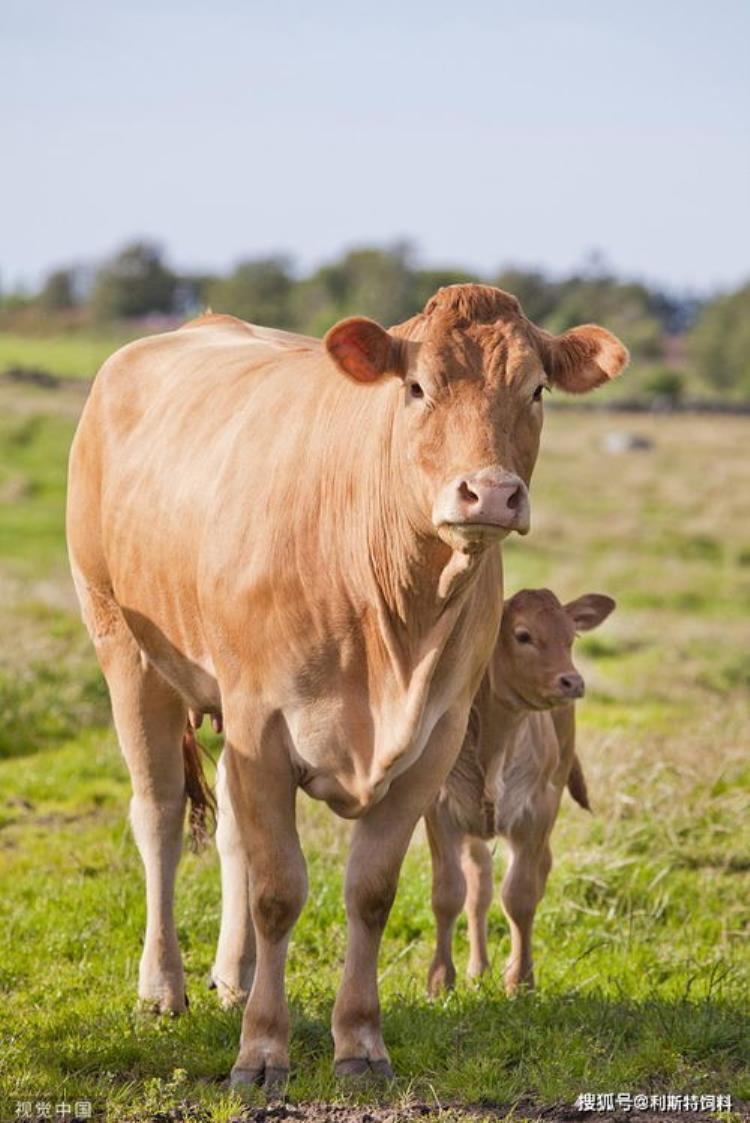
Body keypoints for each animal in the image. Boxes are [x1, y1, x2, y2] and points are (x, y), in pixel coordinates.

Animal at [426, 583, 615, 997]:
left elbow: (521, 896)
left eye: (571, 637)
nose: (573, 682)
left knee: (535, 872)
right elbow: (449, 894)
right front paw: (440, 981)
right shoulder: (440, 810)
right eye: (523, 635)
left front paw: (520, 980)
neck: (495, 741)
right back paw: (478, 968)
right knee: (478, 886)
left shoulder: (536, 813)